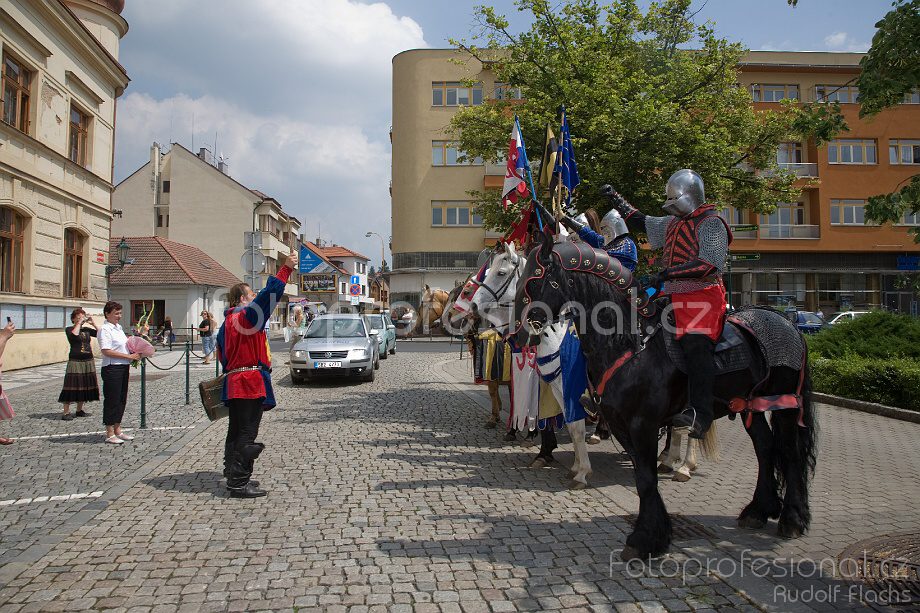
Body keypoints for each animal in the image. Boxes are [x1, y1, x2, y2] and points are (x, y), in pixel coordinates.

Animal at [510, 234, 820, 560]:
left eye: (536, 280)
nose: (519, 335)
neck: (627, 343)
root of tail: (785, 321)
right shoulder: (621, 424)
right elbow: (642, 477)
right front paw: (655, 534)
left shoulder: (642, 424)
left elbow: (645, 477)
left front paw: (644, 539)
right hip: (751, 406)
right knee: (764, 447)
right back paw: (759, 510)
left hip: (785, 402)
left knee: (789, 452)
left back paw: (792, 518)